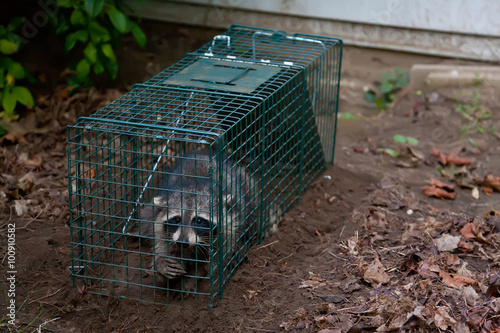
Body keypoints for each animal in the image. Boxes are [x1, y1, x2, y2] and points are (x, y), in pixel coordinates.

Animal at [139, 149, 260, 292]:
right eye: (177, 219)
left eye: (199, 221)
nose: (182, 242)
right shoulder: (160, 228)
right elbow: (162, 250)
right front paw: (160, 265)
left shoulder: (228, 229)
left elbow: (216, 259)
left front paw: (192, 277)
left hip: (248, 189)